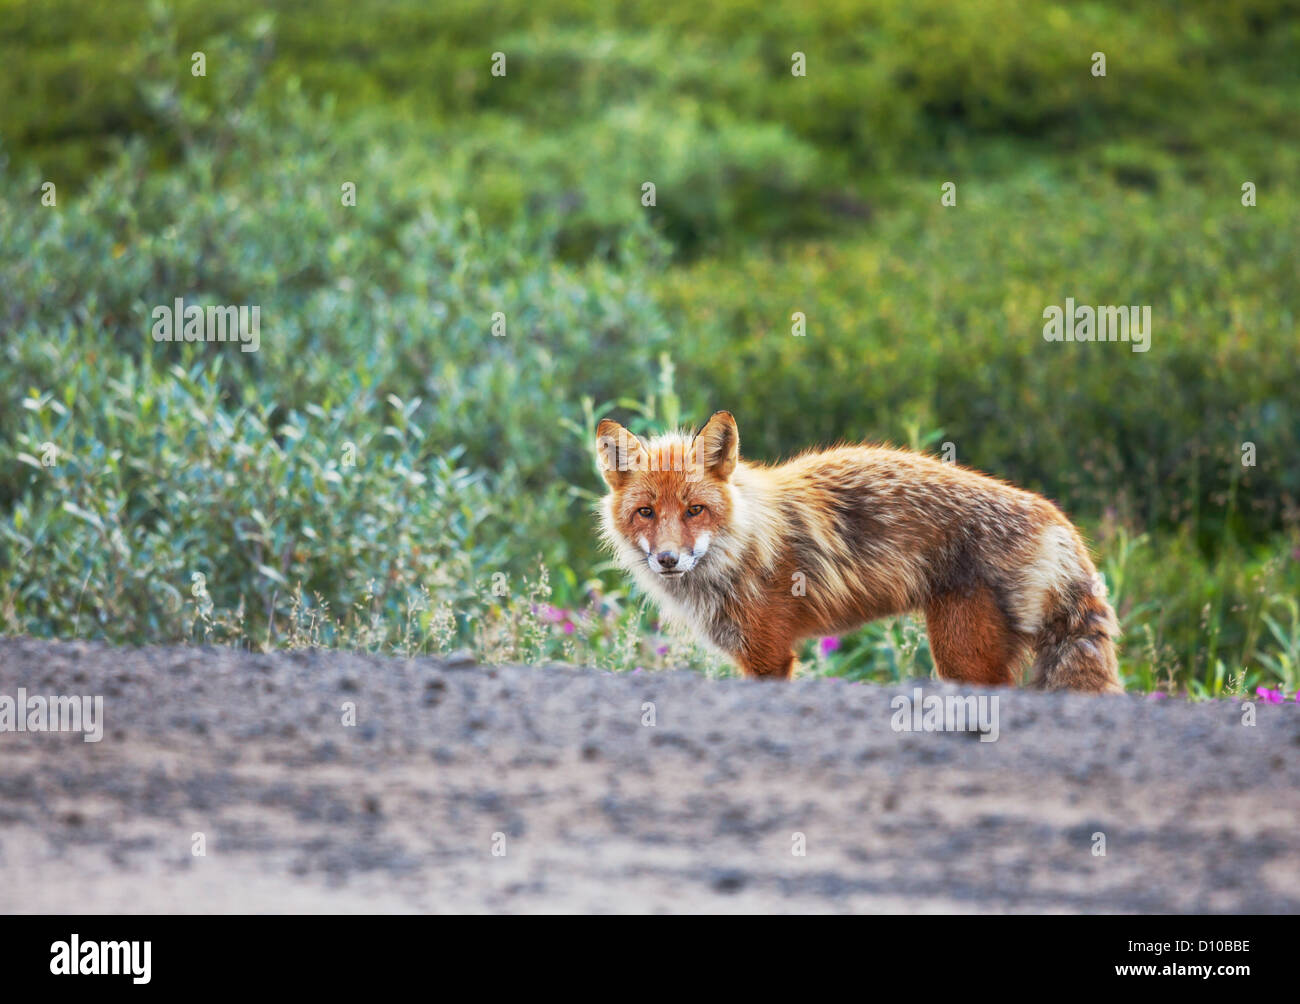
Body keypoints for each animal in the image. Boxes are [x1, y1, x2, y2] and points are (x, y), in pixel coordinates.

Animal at [595, 411, 1123, 693]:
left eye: (695, 510)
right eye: (645, 513)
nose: (668, 559)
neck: (740, 547)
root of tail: (1057, 520)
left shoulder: (769, 655)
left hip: (961, 657)